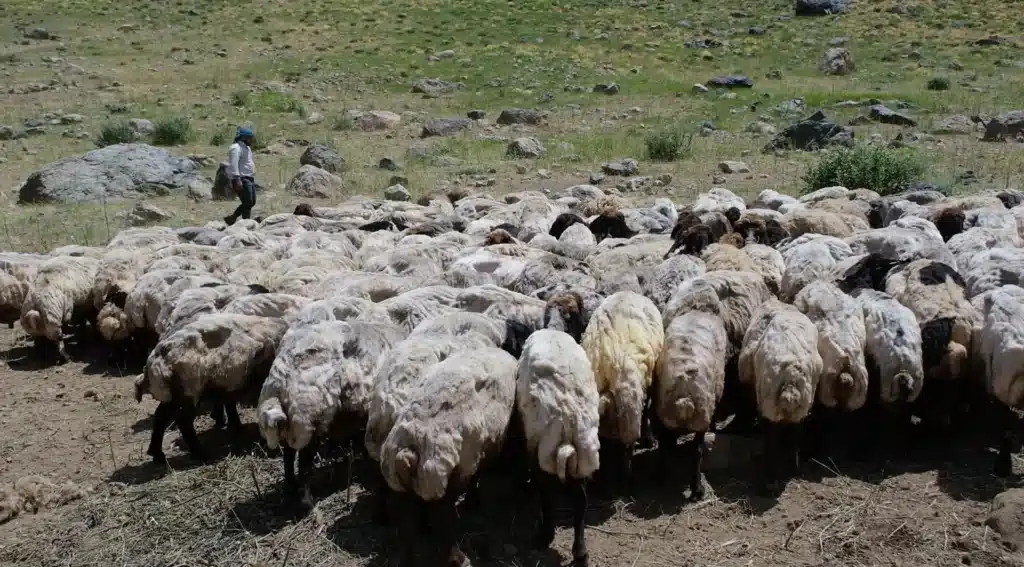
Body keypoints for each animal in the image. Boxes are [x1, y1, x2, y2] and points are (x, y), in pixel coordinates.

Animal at [136, 313, 288, 462]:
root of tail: (155, 359)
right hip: (189, 392)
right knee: (183, 421)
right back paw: (200, 454)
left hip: (176, 395)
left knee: (160, 415)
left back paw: (157, 454)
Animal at [256, 317, 407, 503]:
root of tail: (279, 379)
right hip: (308, 417)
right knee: (304, 462)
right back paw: (307, 500)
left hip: (293, 421)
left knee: (288, 455)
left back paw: (291, 488)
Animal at [512, 329, 598, 560]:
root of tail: (569, 417)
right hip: (583, 455)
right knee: (581, 500)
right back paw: (580, 551)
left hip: (543, 451)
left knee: (548, 495)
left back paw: (544, 536)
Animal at [737, 298, 823, 487]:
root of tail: (791, 378)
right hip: (802, 405)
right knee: (795, 434)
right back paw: (793, 468)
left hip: (768, 402)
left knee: (771, 438)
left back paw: (768, 479)